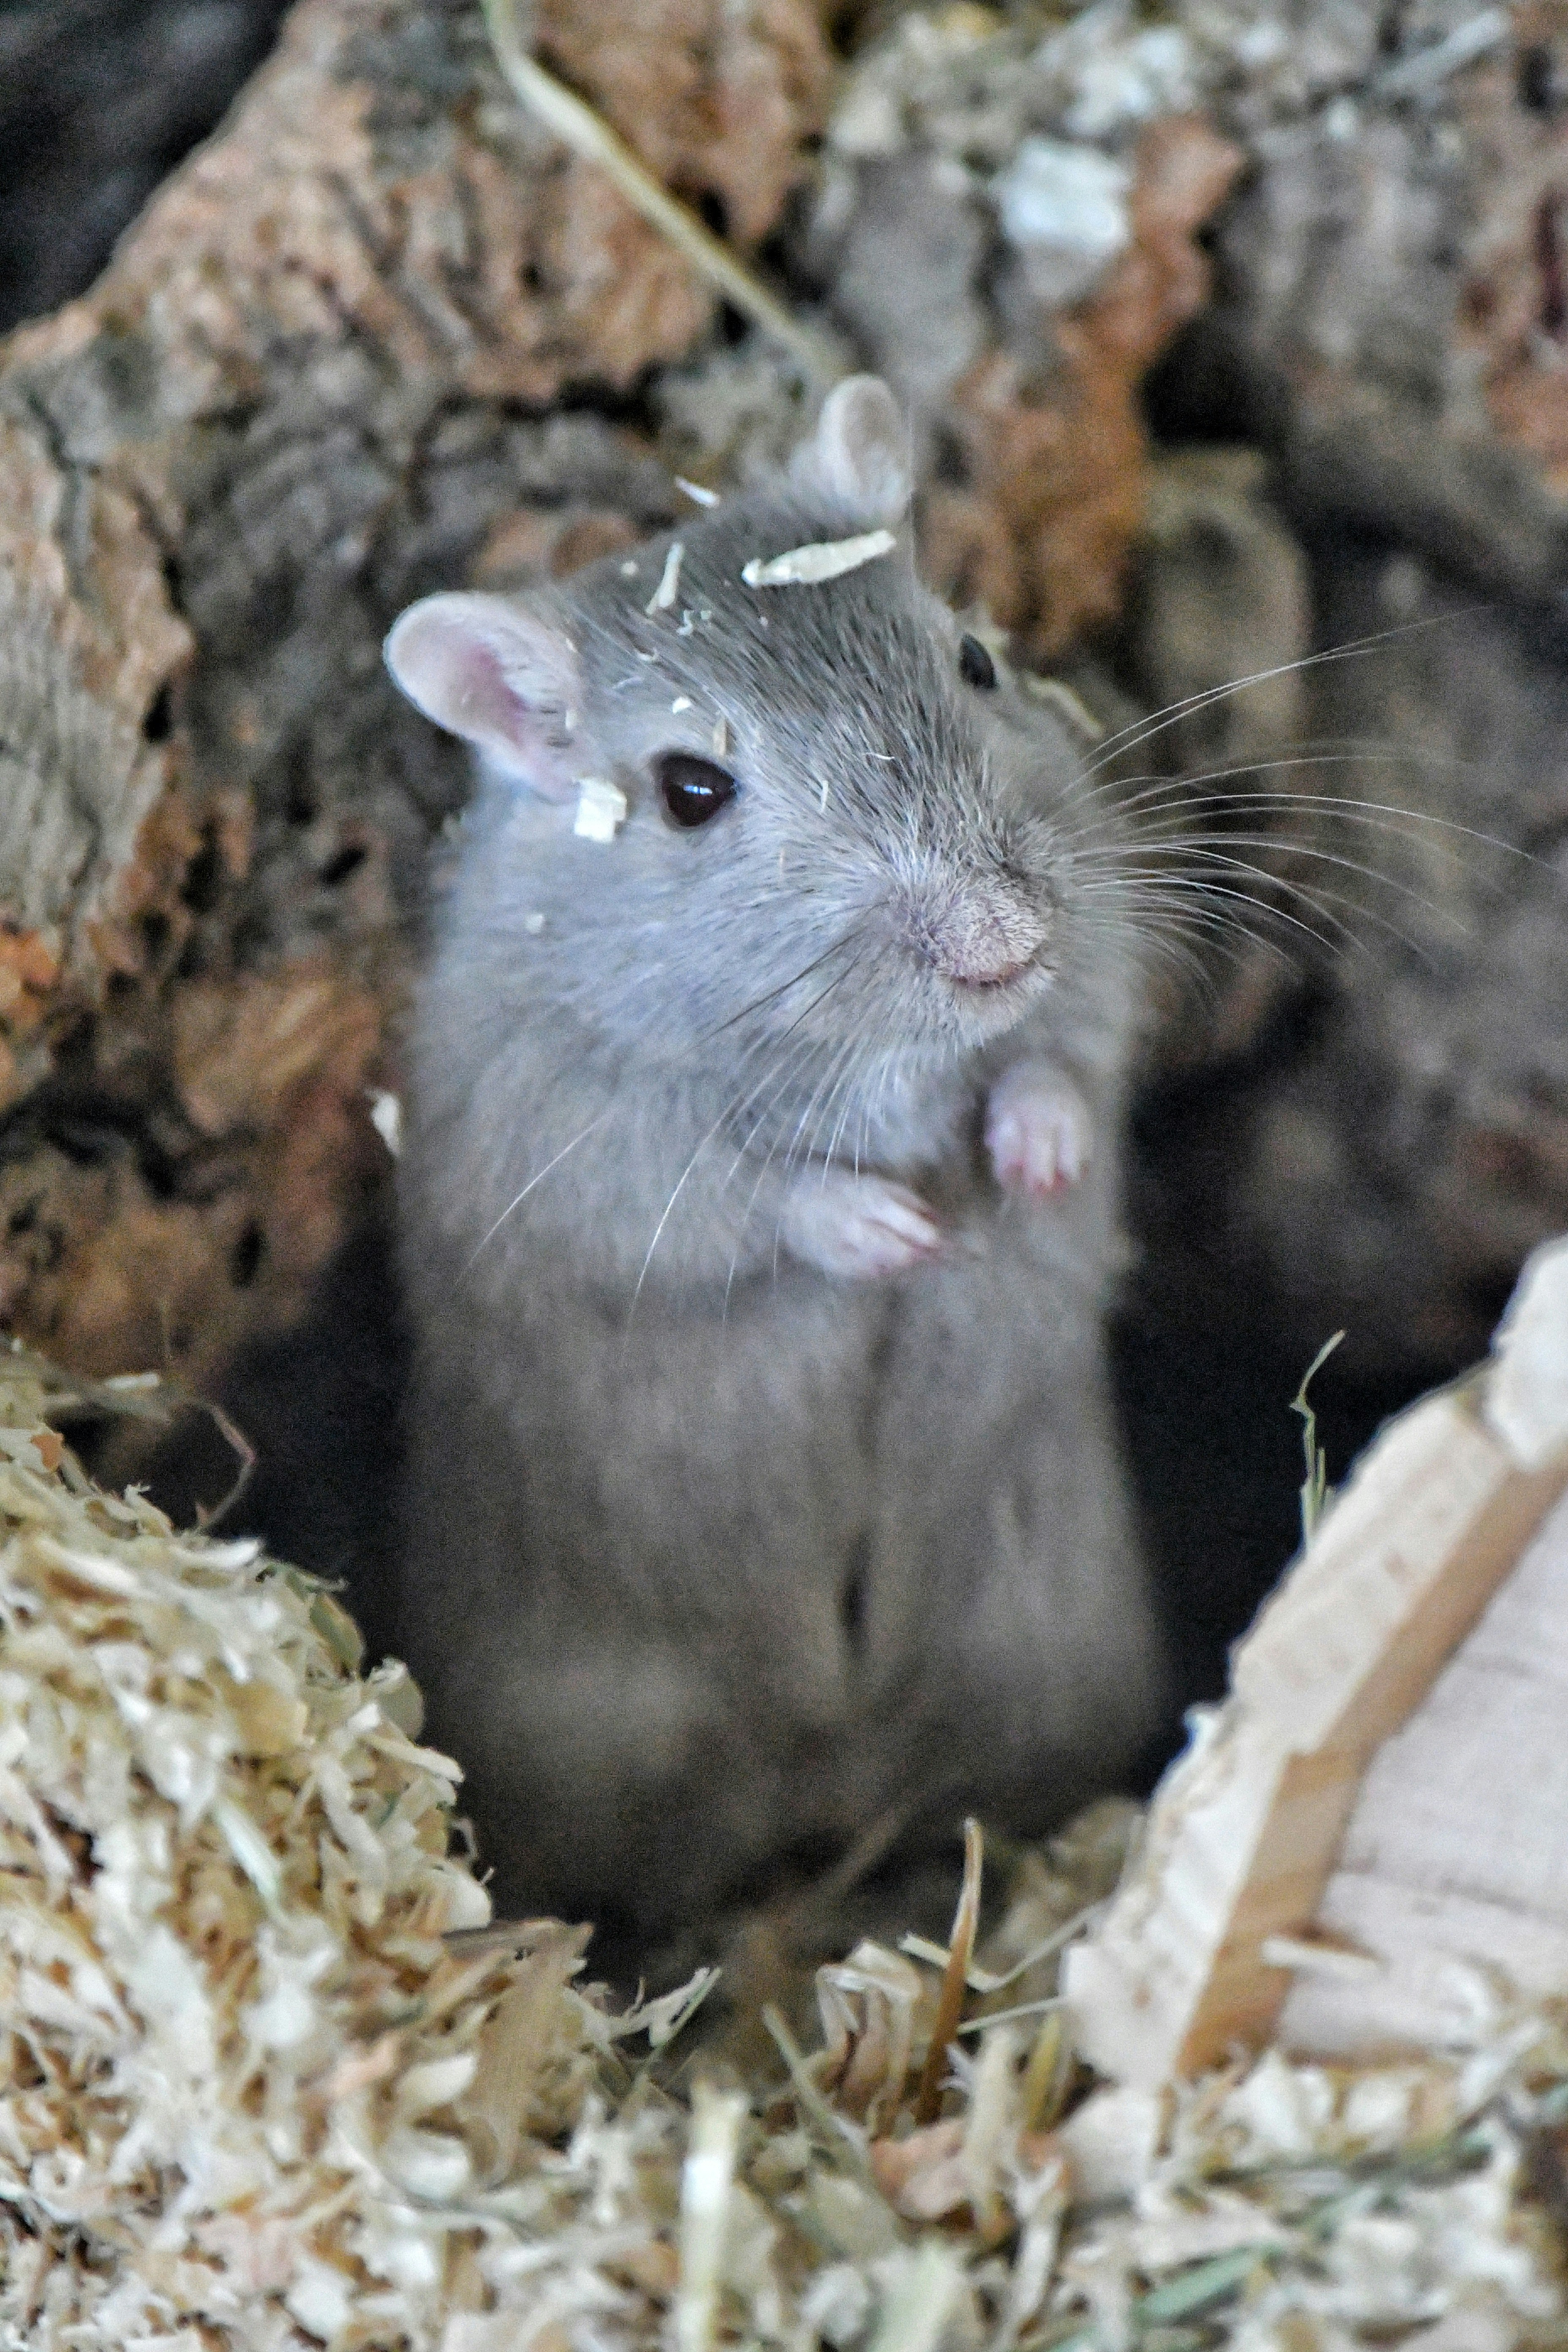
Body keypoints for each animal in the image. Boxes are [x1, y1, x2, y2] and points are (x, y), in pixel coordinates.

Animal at [383, 377, 1165, 1931]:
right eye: (691, 789)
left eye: (975, 659)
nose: (1003, 941)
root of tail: (832, 1770)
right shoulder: (564, 1127)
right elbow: (747, 1191)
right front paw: (900, 1231)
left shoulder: (1101, 933)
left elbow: (1068, 1055)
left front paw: (1031, 1164)